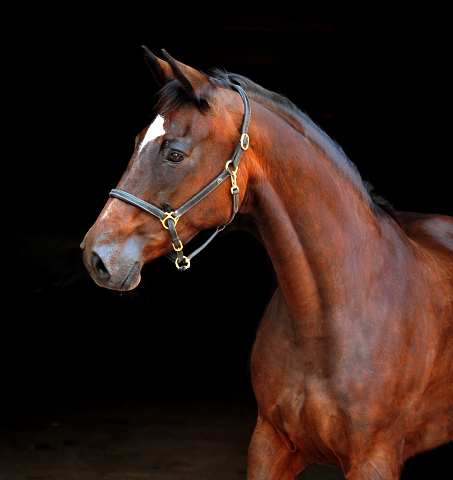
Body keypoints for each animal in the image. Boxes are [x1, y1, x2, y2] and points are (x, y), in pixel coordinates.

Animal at [81, 46, 452, 480]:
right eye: (138, 140)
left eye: (174, 154)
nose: (95, 256)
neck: (325, 323)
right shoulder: (268, 444)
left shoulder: (372, 459)